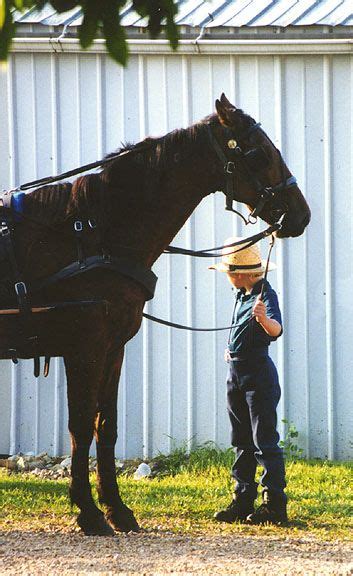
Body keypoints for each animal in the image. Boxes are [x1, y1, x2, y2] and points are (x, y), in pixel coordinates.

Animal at [0, 94, 308, 536]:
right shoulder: (84, 348)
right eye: (259, 153)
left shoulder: (112, 349)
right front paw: (88, 512)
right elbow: (81, 426)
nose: (302, 215)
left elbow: (106, 427)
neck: (91, 232)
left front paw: (117, 509)